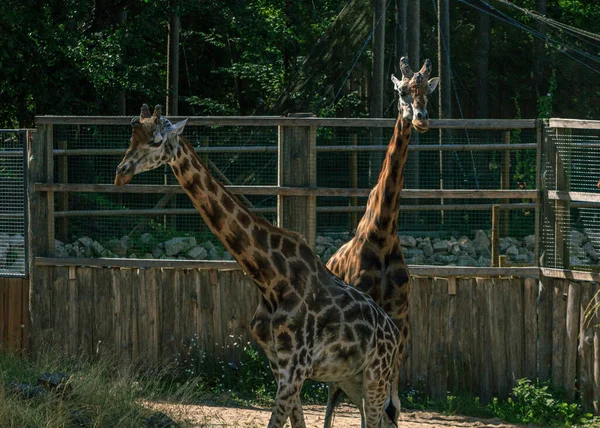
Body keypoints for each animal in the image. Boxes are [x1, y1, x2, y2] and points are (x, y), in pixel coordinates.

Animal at [112, 103, 404, 428]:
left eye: (155, 142)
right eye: (132, 137)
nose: (120, 173)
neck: (269, 278)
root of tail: (395, 336)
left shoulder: (295, 367)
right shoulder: (278, 364)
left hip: (376, 376)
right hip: (353, 380)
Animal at [324, 56, 440, 424]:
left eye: (428, 93)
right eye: (403, 91)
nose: (421, 119)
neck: (384, 234)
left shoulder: (400, 318)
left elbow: (391, 404)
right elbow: (366, 400)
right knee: (334, 391)